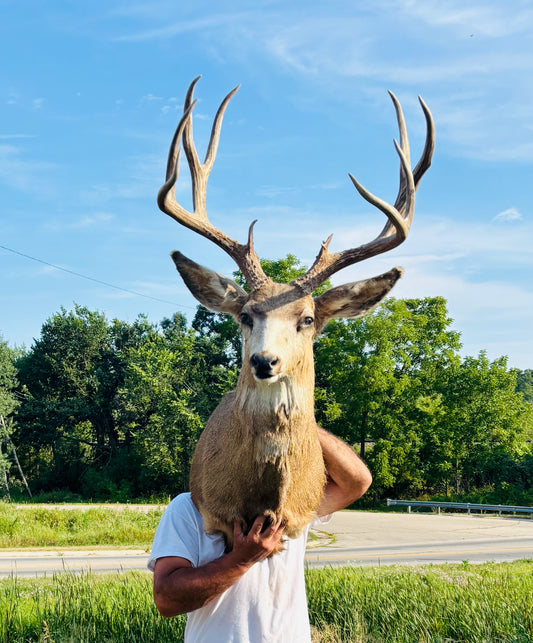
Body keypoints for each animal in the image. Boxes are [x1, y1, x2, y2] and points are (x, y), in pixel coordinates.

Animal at [157, 77, 434, 552]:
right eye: (245, 315)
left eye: (307, 320)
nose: (264, 361)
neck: (263, 498)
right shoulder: (215, 517)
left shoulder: (302, 517)